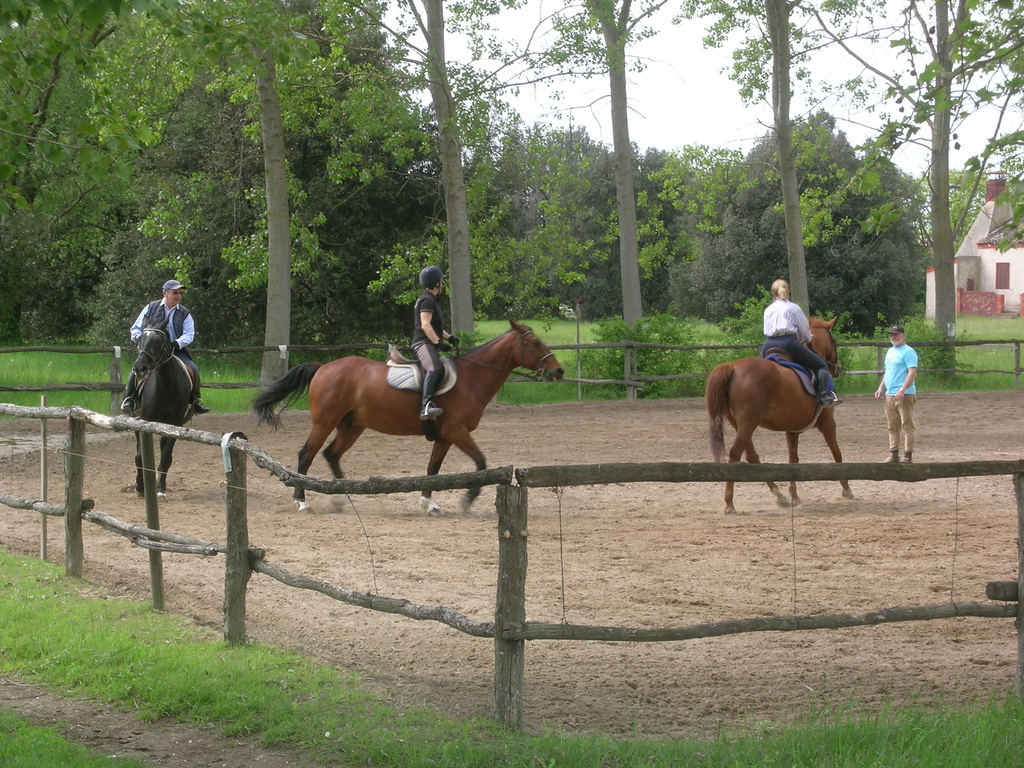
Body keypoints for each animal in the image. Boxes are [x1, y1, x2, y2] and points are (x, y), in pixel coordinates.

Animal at [251, 321, 565, 514]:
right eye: (535, 342)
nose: (559, 371)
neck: (471, 378)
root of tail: (322, 367)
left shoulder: (444, 437)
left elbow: (432, 470)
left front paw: (429, 504)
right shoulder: (457, 432)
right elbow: (480, 463)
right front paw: (467, 499)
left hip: (352, 426)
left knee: (331, 454)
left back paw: (342, 496)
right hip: (325, 422)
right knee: (307, 455)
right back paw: (302, 503)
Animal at [704, 319, 856, 518]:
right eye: (834, 340)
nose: (838, 368)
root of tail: (732, 366)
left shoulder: (792, 430)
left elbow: (793, 459)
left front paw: (794, 497)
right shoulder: (828, 424)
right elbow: (836, 453)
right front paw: (847, 489)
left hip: (740, 423)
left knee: (751, 456)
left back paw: (779, 495)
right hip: (748, 423)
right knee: (735, 454)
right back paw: (730, 504)